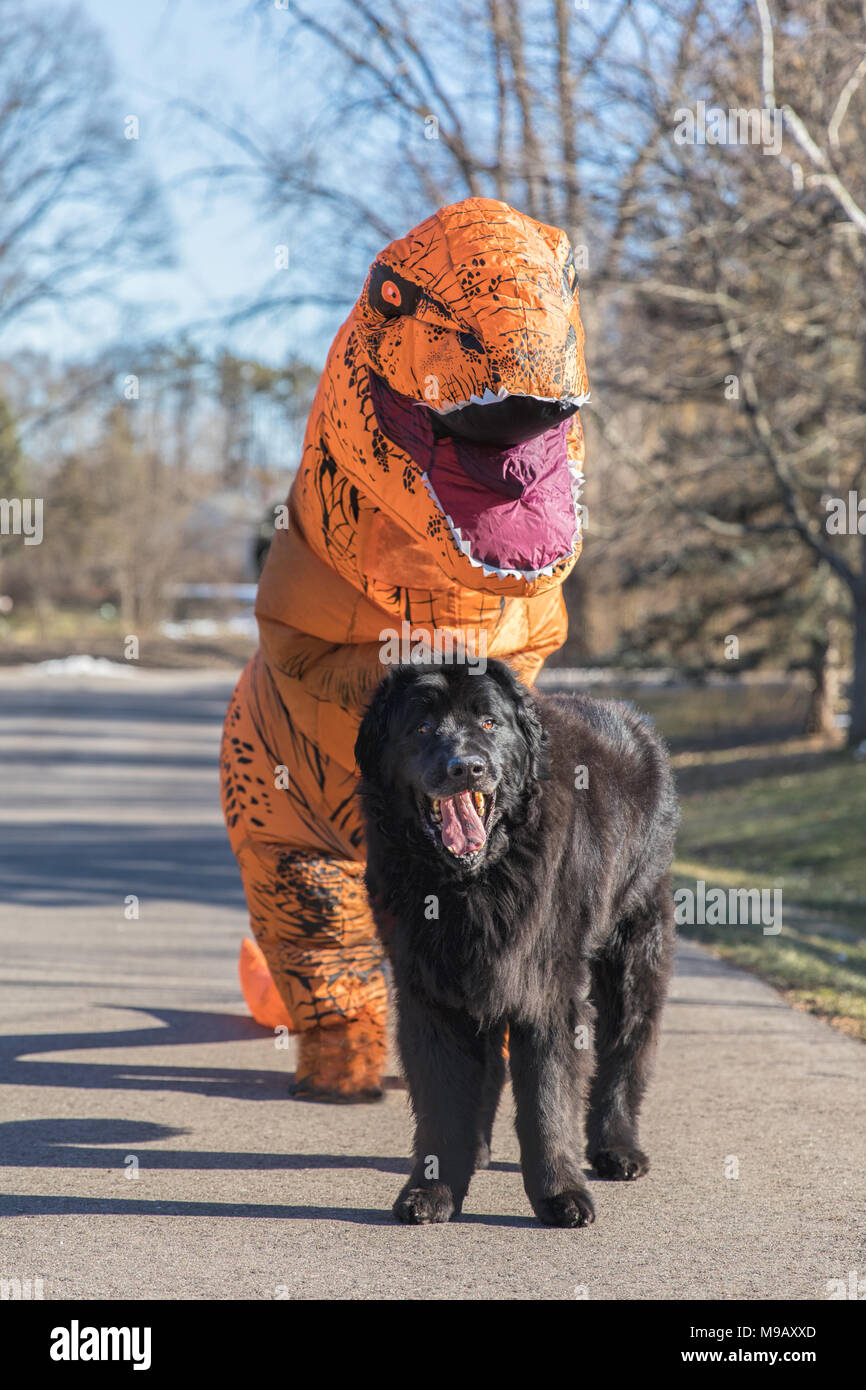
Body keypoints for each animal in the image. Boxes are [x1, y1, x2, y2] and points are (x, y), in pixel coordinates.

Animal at [355, 656, 681, 1223]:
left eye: (488, 723)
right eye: (422, 726)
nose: (466, 767)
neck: (473, 883)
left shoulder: (548, 989)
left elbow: (548, 1098)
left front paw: (561, 1195)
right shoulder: (430, 990)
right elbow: (444, 1098)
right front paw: (432, 1190)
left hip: (635, 946)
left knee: (627, 1046)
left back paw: (618, 1148)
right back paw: (479, 1151)